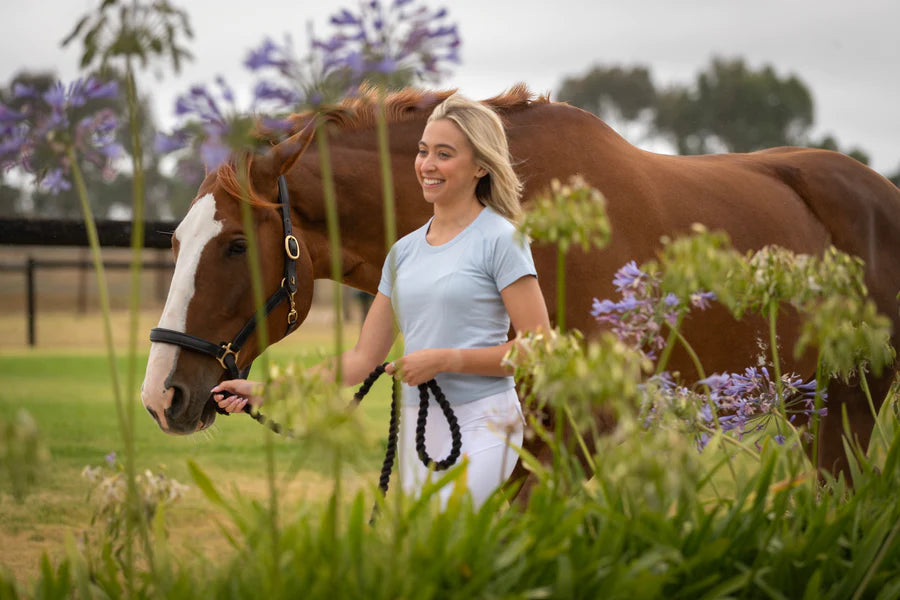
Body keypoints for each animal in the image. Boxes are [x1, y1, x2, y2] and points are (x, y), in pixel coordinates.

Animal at [139, 84, 900, 480]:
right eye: (174, 242)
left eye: (236, 244)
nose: (161, 393)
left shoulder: (579, 432)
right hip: (812, 409)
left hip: (850, 408)